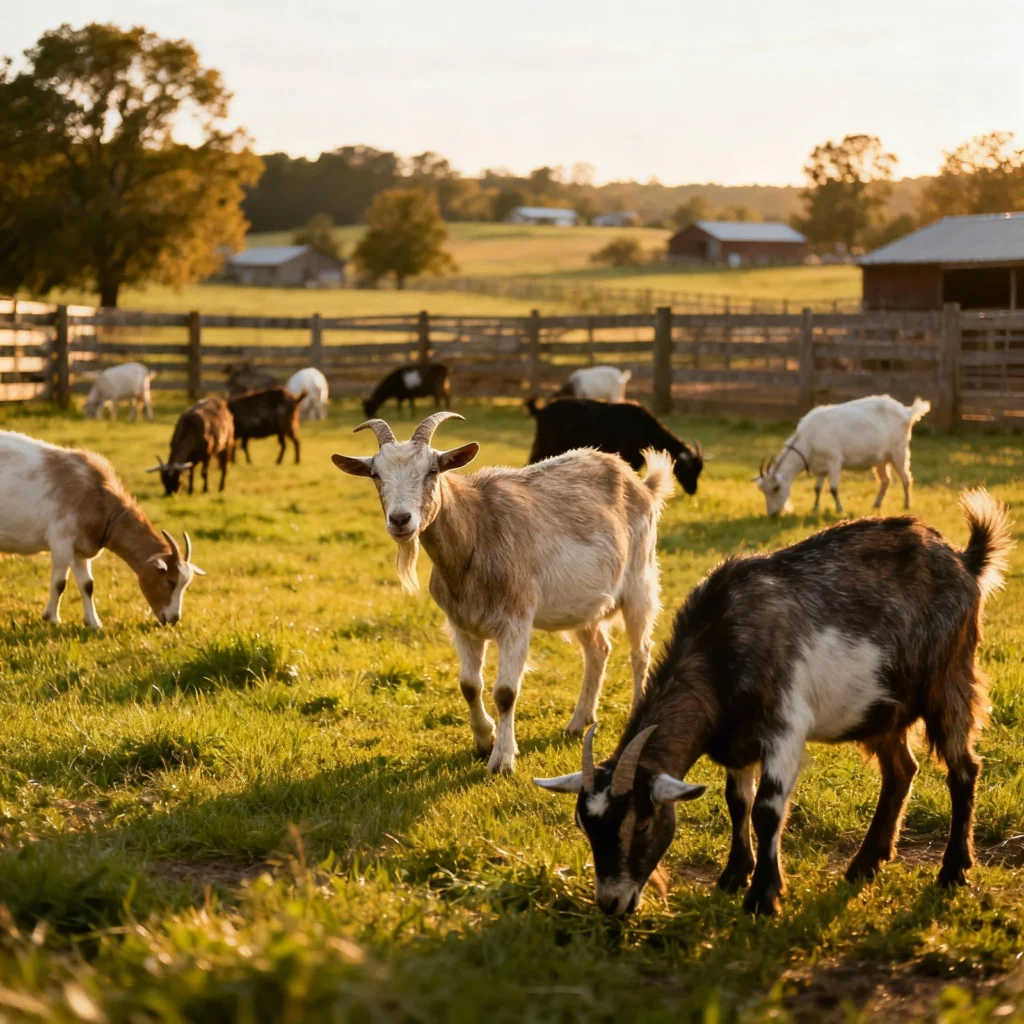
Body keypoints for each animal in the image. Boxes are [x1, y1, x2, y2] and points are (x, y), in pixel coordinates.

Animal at [0, 431, 206, 627]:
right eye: (170, 581)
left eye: (185, 584)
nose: (173, 619)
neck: (95, 496)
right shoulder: (61, 542)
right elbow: (60, 583)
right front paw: (52, 618)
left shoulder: (80, 548)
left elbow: (87, 584)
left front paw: (93, 622)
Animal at [332, 412, 674, 774]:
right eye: (375, 474)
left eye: (433, 470)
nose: (400, 519)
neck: (476, 532)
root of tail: (641, 484)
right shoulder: (462, 624)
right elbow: (469, 685)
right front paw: (484, 740)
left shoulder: (516, 621)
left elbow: (506, 692)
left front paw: (503, 759)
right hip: (584, 603)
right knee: (598, 649)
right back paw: (578, 721)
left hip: (640, 580)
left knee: (640, 651)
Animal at [536, 491, 1013, 916]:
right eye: (585, 826)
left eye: (643, 822)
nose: (612, 904)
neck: (721, 648)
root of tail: (965, 560)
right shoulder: (737, 743)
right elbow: (737, 802)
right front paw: (733, 875)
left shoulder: (784, 730)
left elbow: (766, 810)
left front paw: (763, 897)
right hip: (881, 708)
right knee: (901, 771)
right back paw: (864, 864)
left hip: (949, 679)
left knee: (963, 769)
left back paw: (952, 870)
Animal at [754, 394, 931, 516]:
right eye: (763, 491)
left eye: (776, 488)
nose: (772, 514)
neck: (808, 438)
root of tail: (907, 412)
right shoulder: (820, 467)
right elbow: (817, 489)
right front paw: (814, 509)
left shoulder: (834, 461)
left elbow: (833, 489)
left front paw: (839, 509)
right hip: (880, 459)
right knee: (886, 480)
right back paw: (876, 504)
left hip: (899, 452)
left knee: (906, 478)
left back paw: (906, 505)